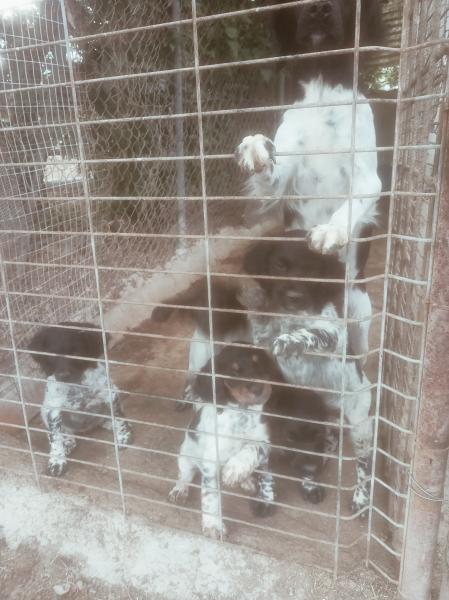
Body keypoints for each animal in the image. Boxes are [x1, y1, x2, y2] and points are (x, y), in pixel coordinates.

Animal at [28, 322, 132, 476]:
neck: (76, 383)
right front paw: (57, 461)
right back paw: (67, 442)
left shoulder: (110, 394)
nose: (62, 375)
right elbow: (55, 437)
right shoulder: (53, 409)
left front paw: (123, 436)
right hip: (44, 410)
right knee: (59, 434)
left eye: (76, 354)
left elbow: (119, 417)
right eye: (51, 355)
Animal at [242, 232, 373, 514]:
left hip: (360, 425)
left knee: (364, 465)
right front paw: (266, 496)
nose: (294, 297)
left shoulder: (333, 334)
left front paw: (289, 341)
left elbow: (314, 333)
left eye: (312, 270)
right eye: (279, 266)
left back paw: (360, 498)